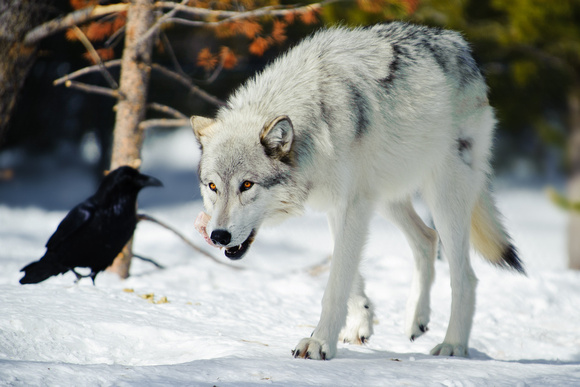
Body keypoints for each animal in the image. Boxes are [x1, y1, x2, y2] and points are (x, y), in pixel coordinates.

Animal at [21, 167, 161, 284]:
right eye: (130, 177)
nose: (154, 180)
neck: (115, 208)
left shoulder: (105, 258)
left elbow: (93, 275)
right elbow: (69, 266)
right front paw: (79, 279)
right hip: (57, 250)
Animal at [191, 21, 524, 360]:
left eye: (247, 185)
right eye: (213, 186)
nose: (219, 236)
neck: (317, 122)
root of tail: (461, 46)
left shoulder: (353, 206)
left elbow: (336, 283)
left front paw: (320, 343)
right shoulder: (338, 206)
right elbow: (348, 275)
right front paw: (359, 323)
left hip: (444, 198)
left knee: (464, 276)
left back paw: (453, 345)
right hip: (387, 197)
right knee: (427, 239)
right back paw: (415, 318)